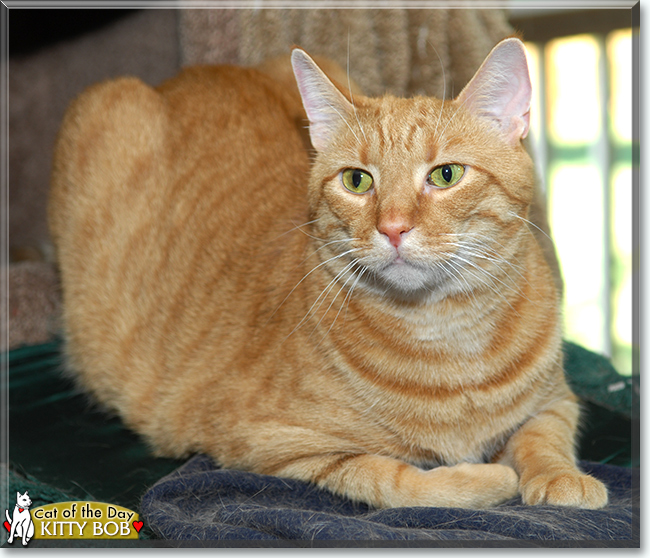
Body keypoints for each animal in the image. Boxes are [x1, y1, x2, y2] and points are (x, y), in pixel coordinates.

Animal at [49, 38, 608, 512]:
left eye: (446, 175)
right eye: (357, 181)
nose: (393, 228)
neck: (447, 334)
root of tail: (193, 74)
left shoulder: (558, 400)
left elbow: (544, 435)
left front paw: (560, 477)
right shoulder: (279, 447)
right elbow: (402, 481)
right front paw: (488, 478)